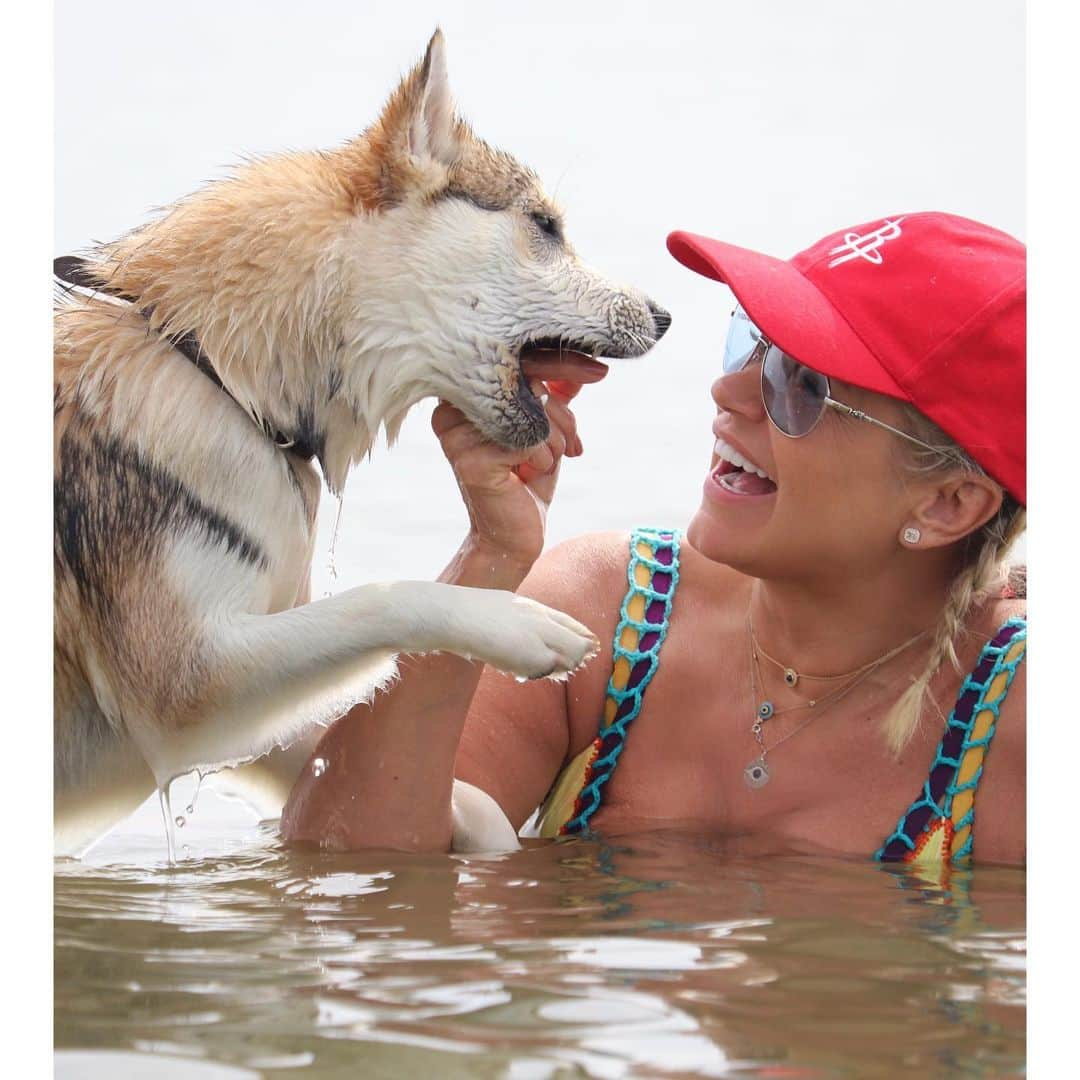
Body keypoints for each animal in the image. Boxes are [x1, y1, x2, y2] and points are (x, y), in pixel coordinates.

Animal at [56, 31, 665, 851]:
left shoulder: (249, 710)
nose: (665, 316)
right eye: (543, 225)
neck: (215, 372)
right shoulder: (188, 695)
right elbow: (381, 598)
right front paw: (518, 626)